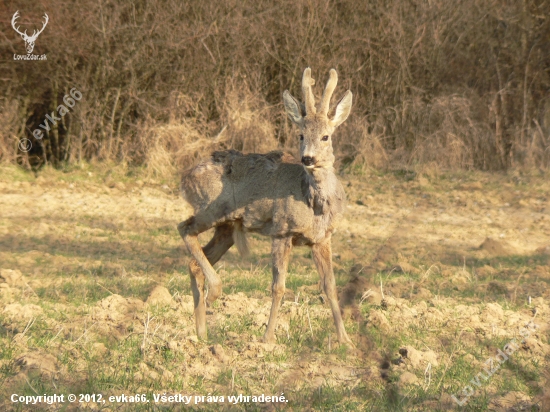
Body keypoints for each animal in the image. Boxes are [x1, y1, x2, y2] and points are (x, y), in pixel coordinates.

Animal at [179, 69, 356, 346]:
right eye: (301, 135)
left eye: (326, 136)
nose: (308, 158)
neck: (313, 205)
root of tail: (185, 178)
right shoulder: (282, 230)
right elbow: (278, 286)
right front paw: (268, 338)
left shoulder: (322, 238)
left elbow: (329, 286)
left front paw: (345, 340)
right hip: (212, 208)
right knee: (184, 227)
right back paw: (215, 293)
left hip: (226, 228)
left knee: (194, 262)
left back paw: (202, 333)